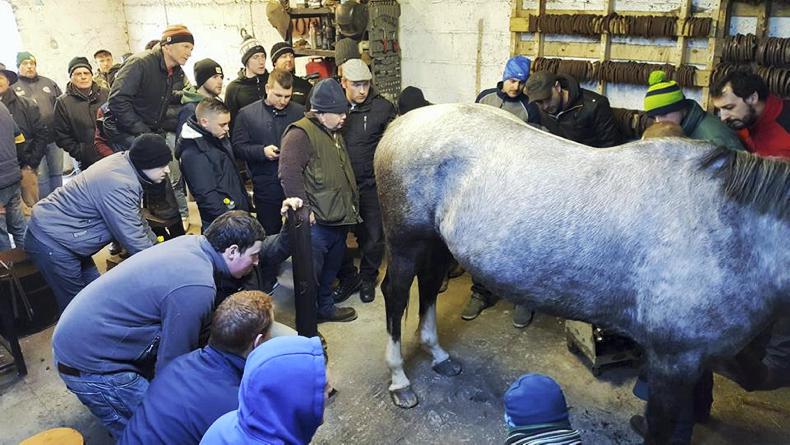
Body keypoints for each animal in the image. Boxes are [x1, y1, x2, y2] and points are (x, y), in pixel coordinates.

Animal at [374, 103, 790, 444]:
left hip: (436, 243)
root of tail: (401, 122)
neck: (722, 224)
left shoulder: (694, 360)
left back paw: (439, 355)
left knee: (429, 287)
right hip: (407, 239)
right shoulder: (674, 361)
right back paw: (400, 381)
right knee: (396, 294)